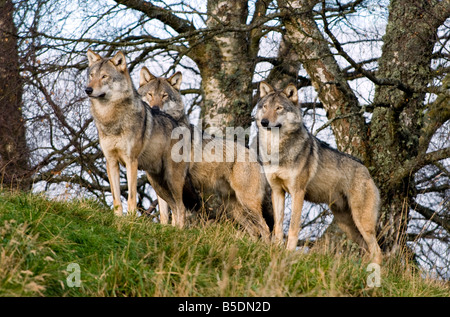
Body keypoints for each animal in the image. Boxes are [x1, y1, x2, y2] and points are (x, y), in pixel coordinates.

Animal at [84, 49, 199, 226]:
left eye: (104, 76)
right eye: (92, 75)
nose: (88, 89)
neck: (110, 118)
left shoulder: (131, 161)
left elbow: (131, 196)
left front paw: (130, 220)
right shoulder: (111, 161)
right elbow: (116, 198)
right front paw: (118, 219)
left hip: (172, 180)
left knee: (180, 208)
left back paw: (178, 231)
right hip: (158, 183)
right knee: (173, 207)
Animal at [137, 67, 272, 239]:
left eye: (164, 95)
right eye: (150, 94)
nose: (155, 108)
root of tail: (255, 156)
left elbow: (178, 212)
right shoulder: (158, 183)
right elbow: (164, 215)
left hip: (247, 202)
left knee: (265, 228)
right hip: (235, 207)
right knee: (254, 230)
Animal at [255, 80, 382, 262]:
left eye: (278, 108)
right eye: (265, 107)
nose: (264, 122)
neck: (277, 151)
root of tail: (367, 171)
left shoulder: (298, 192)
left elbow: (293, 227)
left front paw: (288, 253)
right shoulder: (277, 191)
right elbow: (278, 226)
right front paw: (276, 251)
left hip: (362, 222)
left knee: (377, 250)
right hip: (347, 224)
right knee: (368, 249)